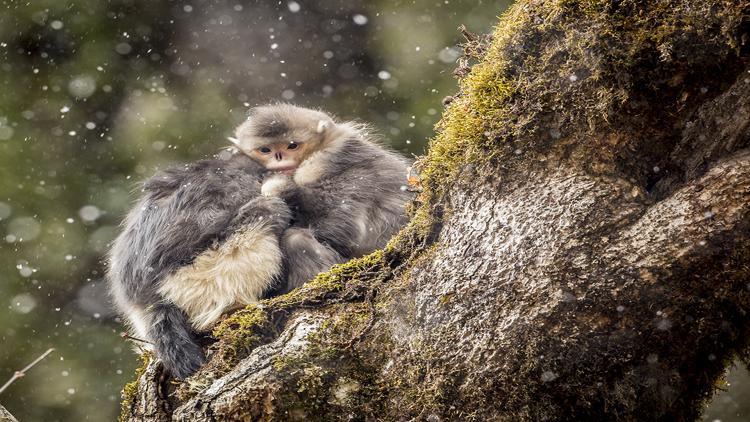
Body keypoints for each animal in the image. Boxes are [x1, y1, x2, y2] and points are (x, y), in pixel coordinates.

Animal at [232, 104, 414, 292]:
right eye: (265, 150)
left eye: (292, 146)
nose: (278, 158)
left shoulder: (347, 171)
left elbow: (345, 228)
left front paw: (279, 188)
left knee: (297, 240)